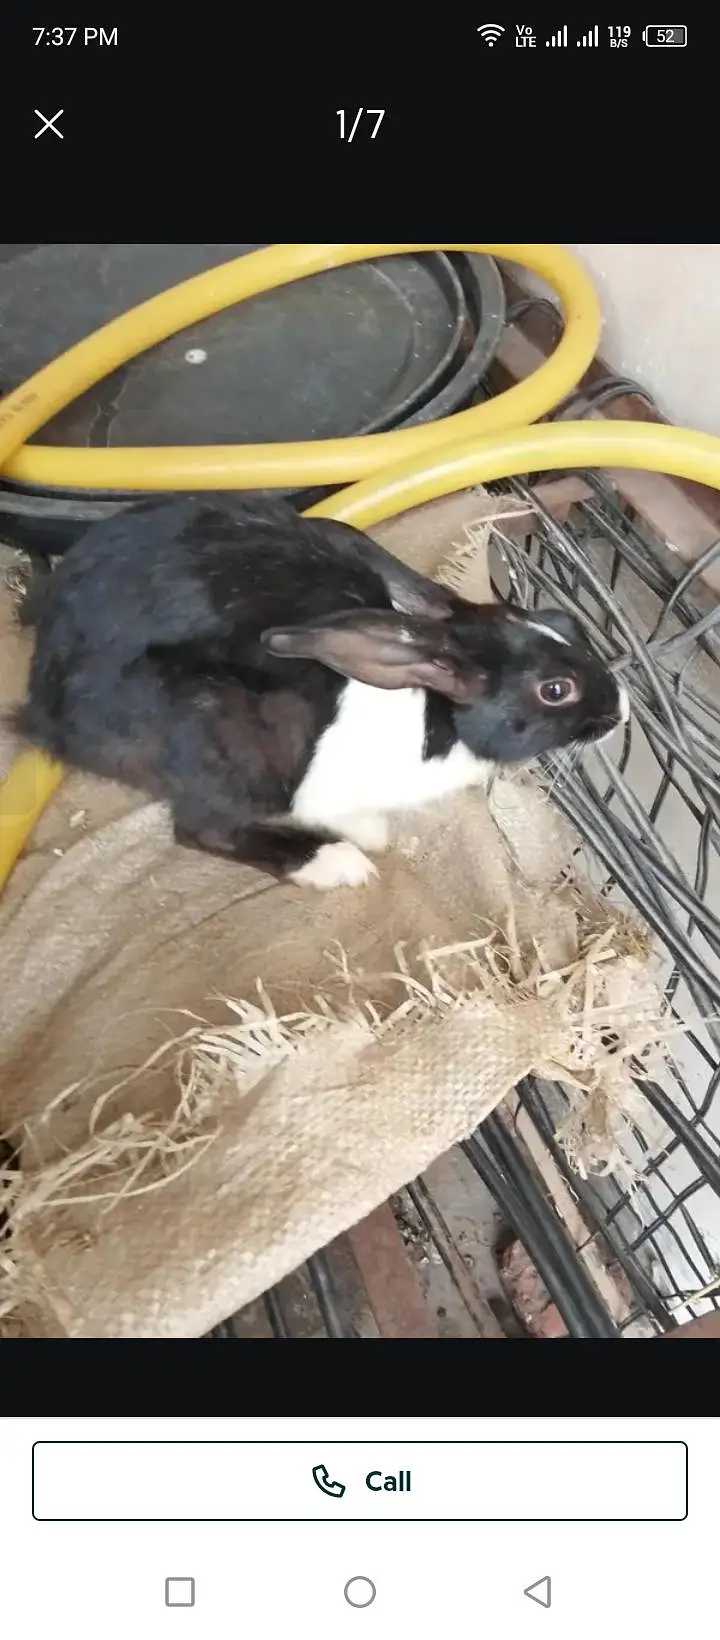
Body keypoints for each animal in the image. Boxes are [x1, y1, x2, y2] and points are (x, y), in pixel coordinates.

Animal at [14, 494, 628, 891]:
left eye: (564, 622)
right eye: (555, 690)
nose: (621, 710)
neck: (436, 714)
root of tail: (44, 702)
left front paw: (373, 830)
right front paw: (362, 842)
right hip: (218, 733)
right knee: (202, 829)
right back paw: (333, 864)